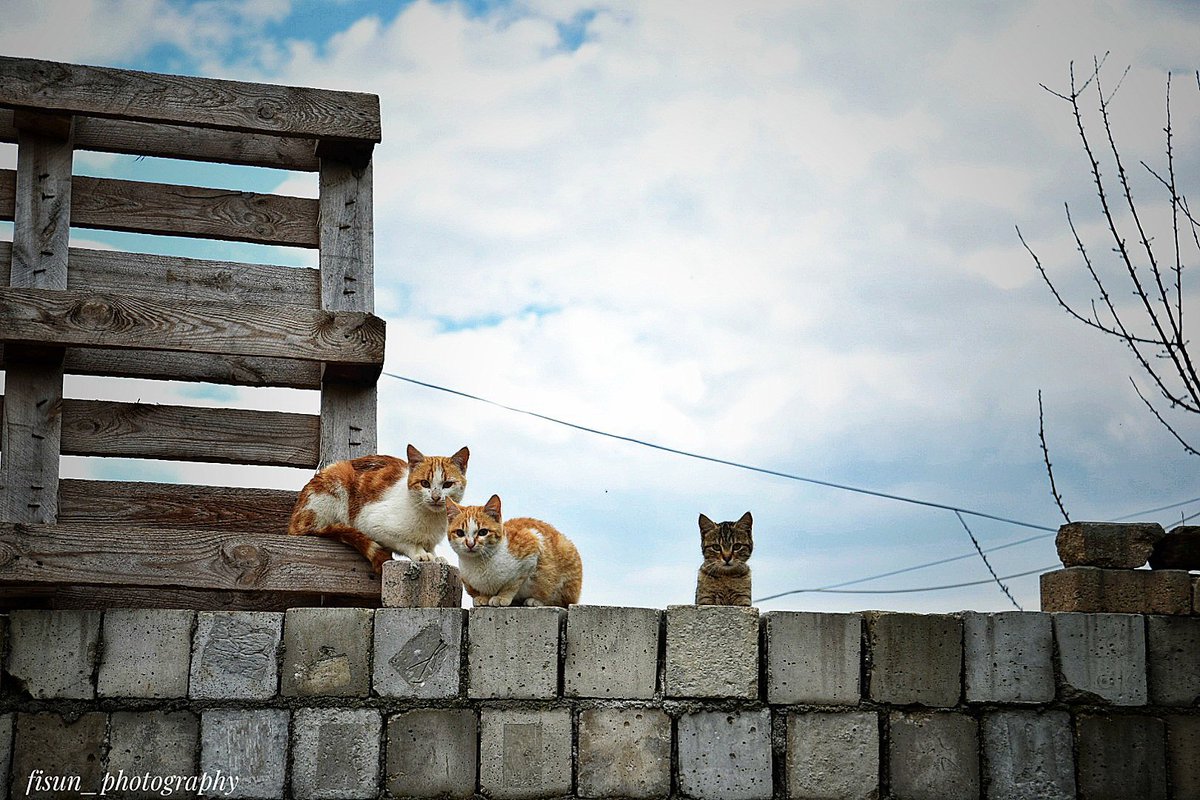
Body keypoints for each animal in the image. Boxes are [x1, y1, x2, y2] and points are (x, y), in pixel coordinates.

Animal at [285, 448, 468, 573]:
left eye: (447, 484)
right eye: (424, 483)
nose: (436, 497)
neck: (432, 519)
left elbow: (431, 548)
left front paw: (436, 557)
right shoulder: (371, 523)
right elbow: (406, 542)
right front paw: (420, 553)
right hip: (336, 481)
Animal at [448, 494, 583, 606]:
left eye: (483, 532)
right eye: (460, 533)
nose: (470, 544)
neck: (478, 563)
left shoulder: (532, 544)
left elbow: (512, 584)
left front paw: (501, 597)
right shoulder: (467, 580)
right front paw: (484, 597)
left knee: (558, 600)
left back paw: (535, 601)